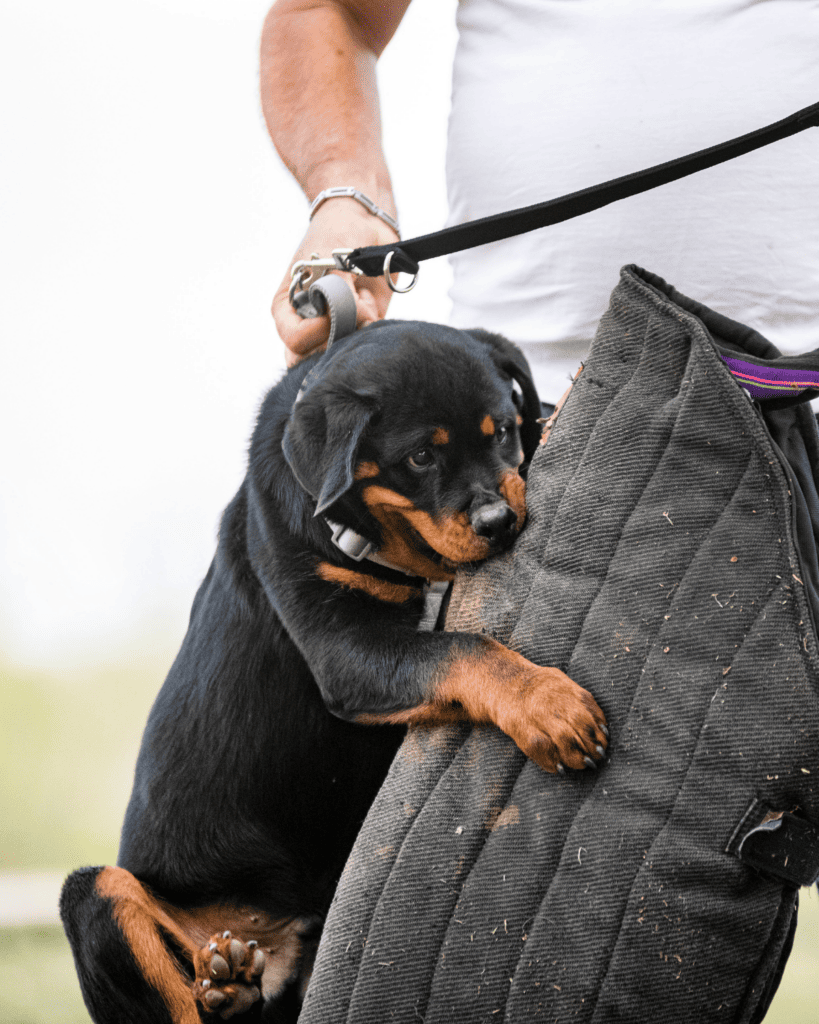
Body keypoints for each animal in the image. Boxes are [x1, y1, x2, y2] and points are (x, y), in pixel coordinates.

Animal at [59, 321, 606, 1024]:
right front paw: (549, 705)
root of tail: (273, 943)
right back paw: (218, 984)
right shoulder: (346, 650)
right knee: (159, 976)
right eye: (419, 459)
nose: (499, 523)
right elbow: (465, 648)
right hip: (95, 896)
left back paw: (231, 983)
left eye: (504, 432)